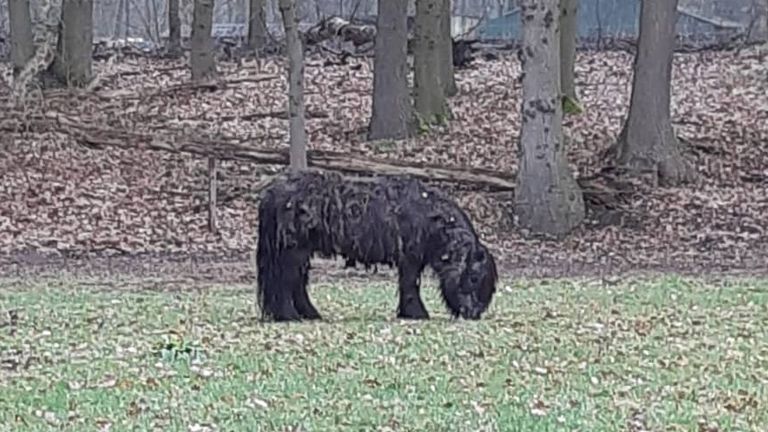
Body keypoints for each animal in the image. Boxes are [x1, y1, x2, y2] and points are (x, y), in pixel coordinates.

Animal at [255, 169, 500, 320]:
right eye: (474, 277)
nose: (473, 313)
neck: (433, 220)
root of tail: (270, 193)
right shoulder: (410, 257)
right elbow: (410, 284)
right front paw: (417, 313)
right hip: (292, 251)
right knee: (285, 283)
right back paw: (289, 316)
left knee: (297, 283)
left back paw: (311, 314)